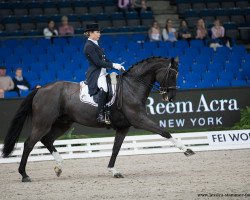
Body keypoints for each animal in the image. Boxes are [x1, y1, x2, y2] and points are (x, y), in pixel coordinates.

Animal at [1, 55, 195, 181]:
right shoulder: (139, 120)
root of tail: (41, 89)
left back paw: (59, 166)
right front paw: (186, 149)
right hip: (43, 122)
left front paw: (113, 171)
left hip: (63, 123)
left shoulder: (124, 127)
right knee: (29, 144)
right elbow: (164, 132)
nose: (170, 98)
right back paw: (24, 174)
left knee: (47, 140)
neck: (132, 86)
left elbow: (116, 149)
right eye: (173, 74)